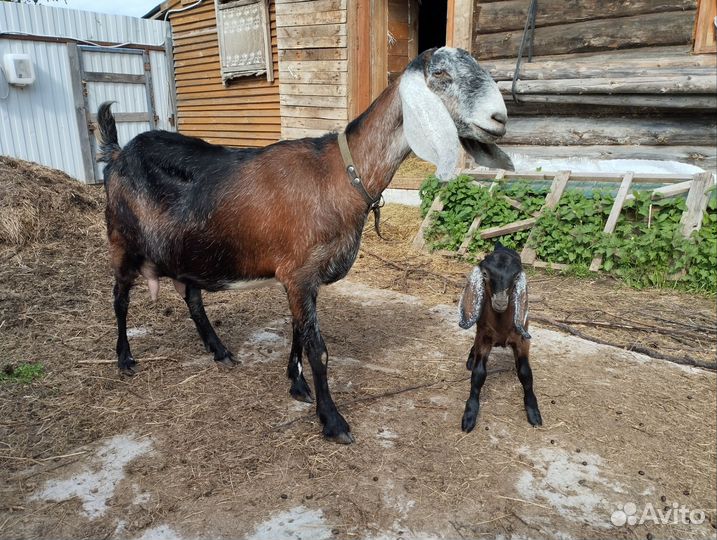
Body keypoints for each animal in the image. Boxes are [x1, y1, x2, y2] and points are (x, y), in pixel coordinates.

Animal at [96, 47, 514, 444]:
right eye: (441, 74)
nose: (499, 118)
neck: (342, 175)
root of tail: (117, 154)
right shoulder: (298, 274)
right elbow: (318, 349)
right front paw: (332, 420)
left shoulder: (301, 278)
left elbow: (299, 331)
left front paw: (296, 383)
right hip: (122, 239)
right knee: (119, 298)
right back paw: (125, 359)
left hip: (188, 250)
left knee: (192, 299)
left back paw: (220, 351)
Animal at [458, 242, 542, 432]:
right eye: (485, 274)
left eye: (516, 276)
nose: (501, 302)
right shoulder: (485, 336)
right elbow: (478, 374)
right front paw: (470, 414)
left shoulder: (522, 340)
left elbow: (526, 373)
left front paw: (533, 411)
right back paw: (470, 358)